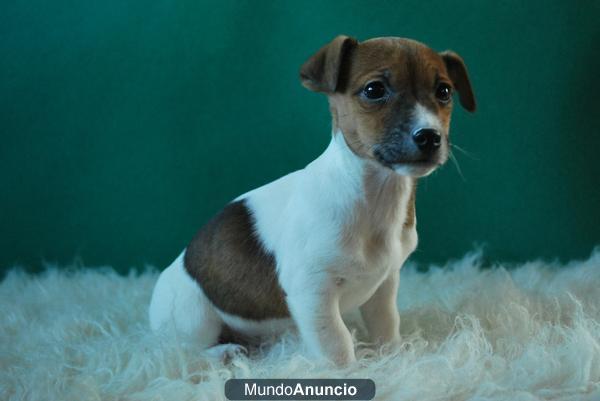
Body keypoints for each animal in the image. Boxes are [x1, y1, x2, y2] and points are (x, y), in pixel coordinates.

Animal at [151, 36, 478, 364]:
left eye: (444, 92)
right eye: (374, 90)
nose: (429, 136)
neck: (374, 195)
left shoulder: (384, 285)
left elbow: (386, 324)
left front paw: (393, 357)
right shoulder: (312, 291)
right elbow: (337, 343)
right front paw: (350, 371)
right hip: (193, 317)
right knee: (185, 351)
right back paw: (224, 352)